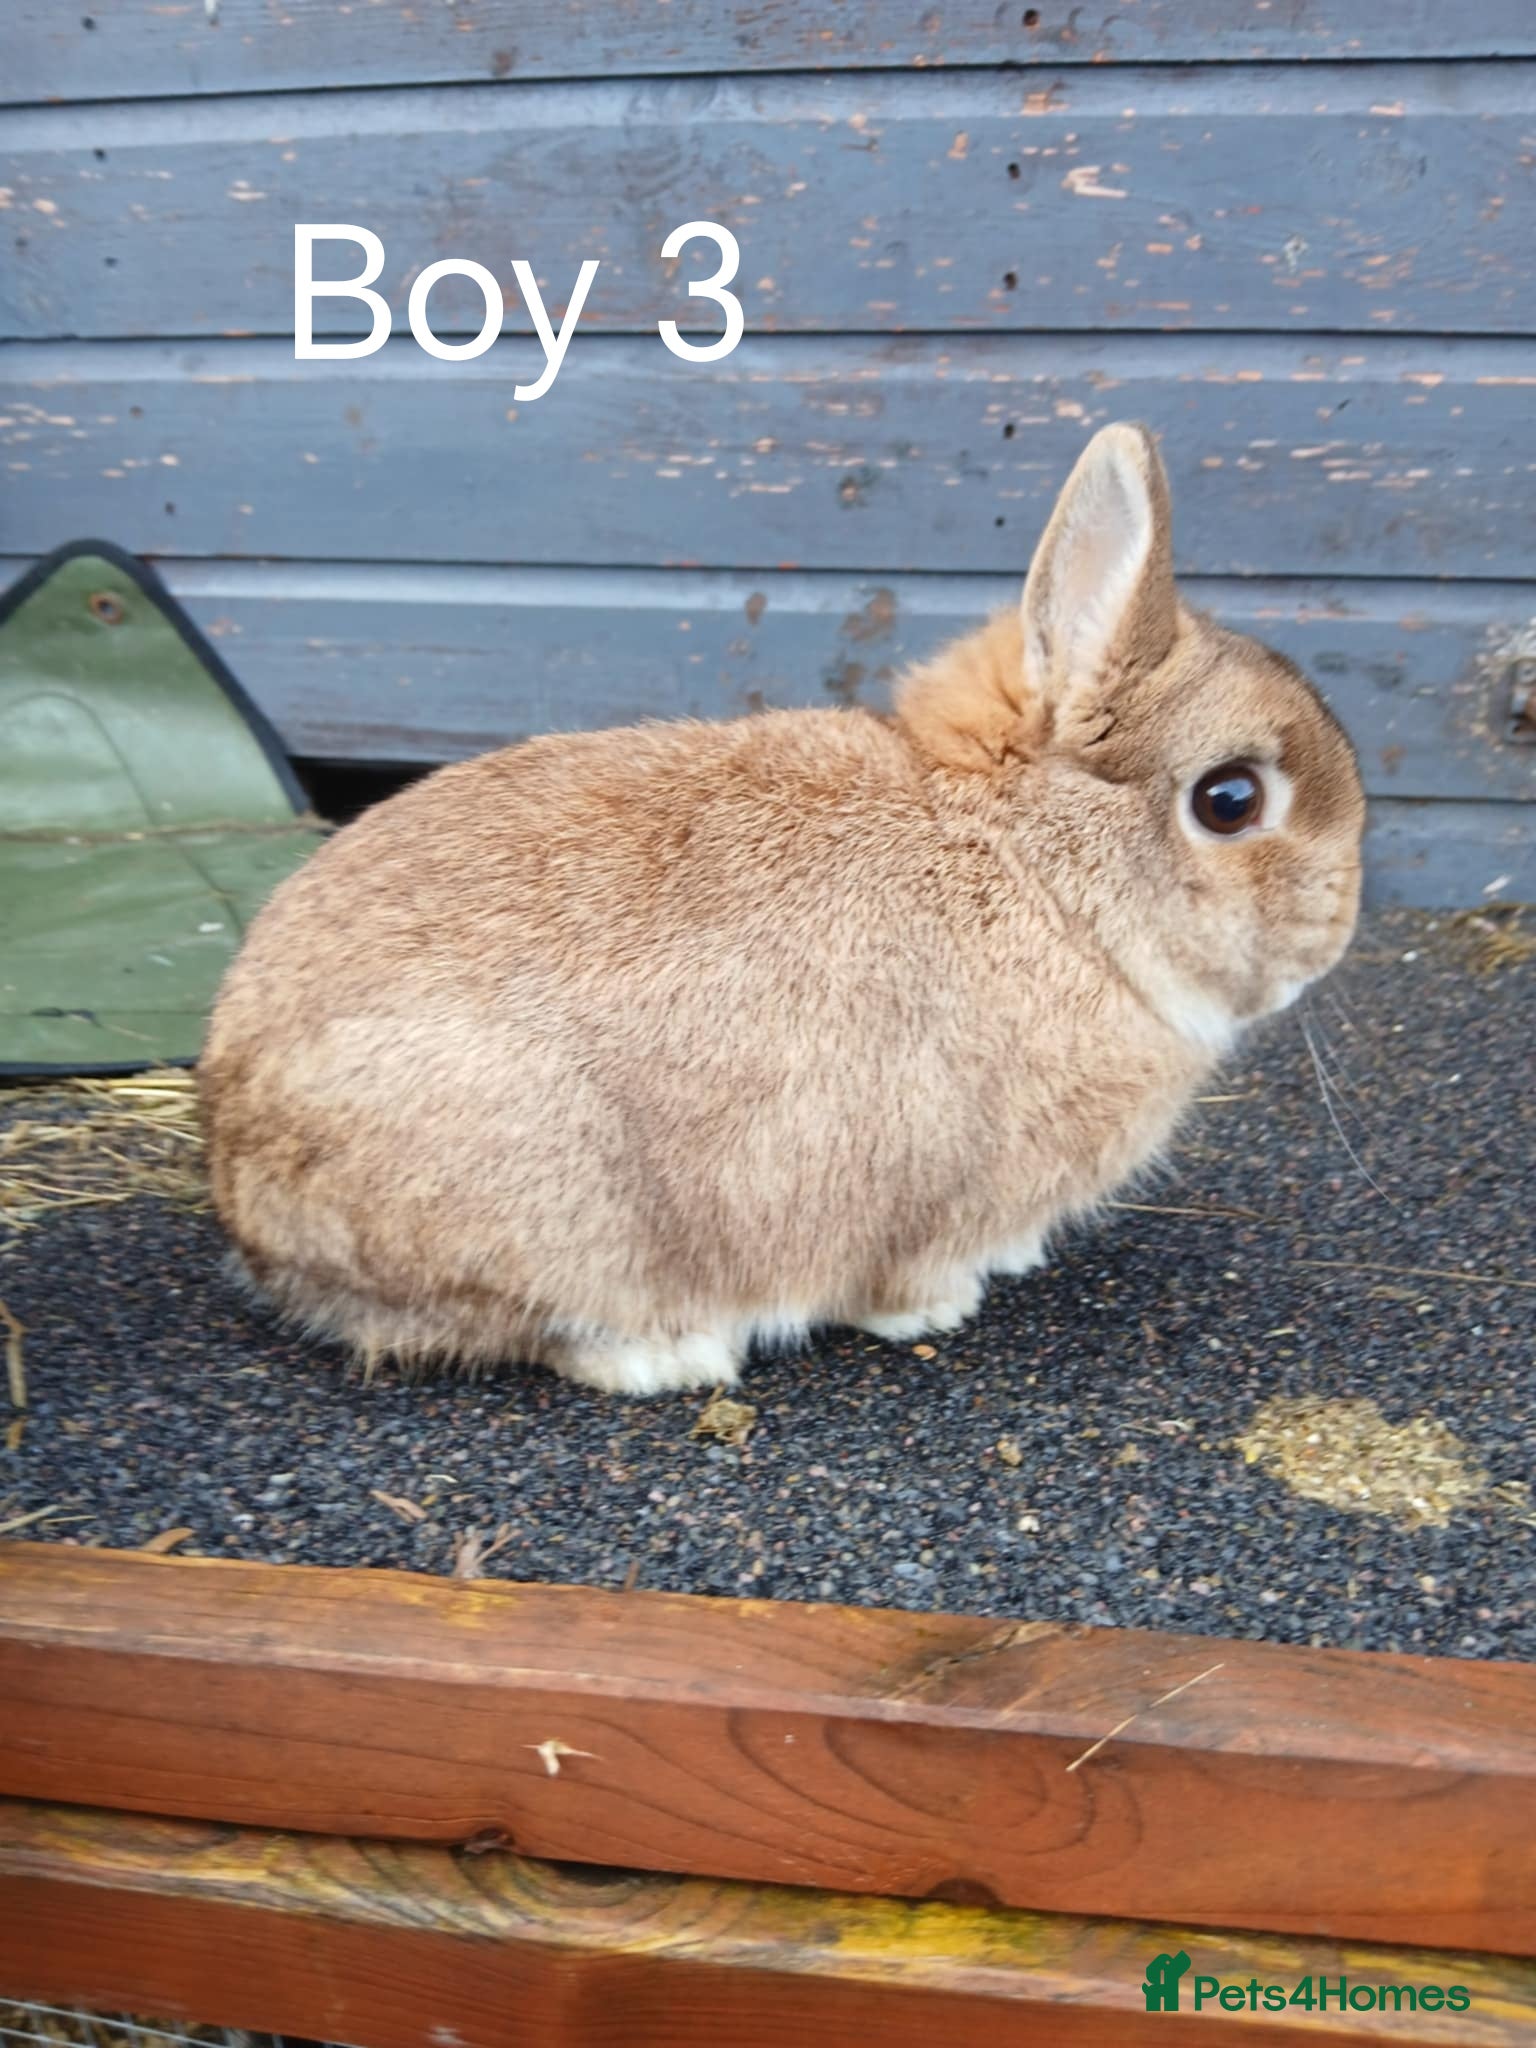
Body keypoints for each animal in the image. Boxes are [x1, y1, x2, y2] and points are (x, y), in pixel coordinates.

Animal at [199, 423, 1365, 1396]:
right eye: (1229, 800)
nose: (1337, 931)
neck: (1033, 867)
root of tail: (245, 1183)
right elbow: (901, 1270)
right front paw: (936, 1309)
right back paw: (674, 1356)